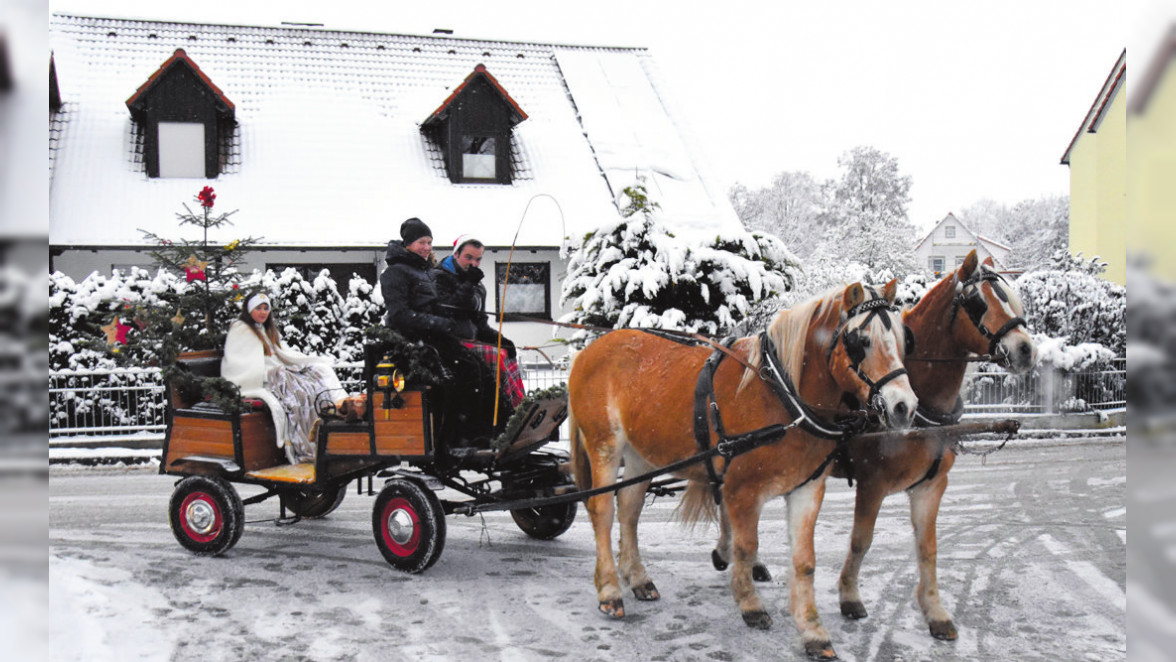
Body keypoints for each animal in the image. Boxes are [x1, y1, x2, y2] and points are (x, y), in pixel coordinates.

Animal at [569, 282, 917, 658]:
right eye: (861, 341)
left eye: (902, 340)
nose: (905, 407)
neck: (783, 396)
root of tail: (587, 353)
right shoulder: (741, 490)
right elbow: (746, 547)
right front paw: (750, 603)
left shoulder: (807, 489)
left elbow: (804, 561)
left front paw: (813, 631)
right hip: (605, 446)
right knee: (602, 511)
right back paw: (609, 590)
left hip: (639, 456)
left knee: (629, 509)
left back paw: (637, 577)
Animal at [832, 251, 1034, 639]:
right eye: (978, 302)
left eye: (1010, 298)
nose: (1026, 350)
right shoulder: (872, 484)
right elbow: (861, 541)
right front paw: (849, 595)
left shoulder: (931, 485)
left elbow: (928, 548)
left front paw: (934, 611)